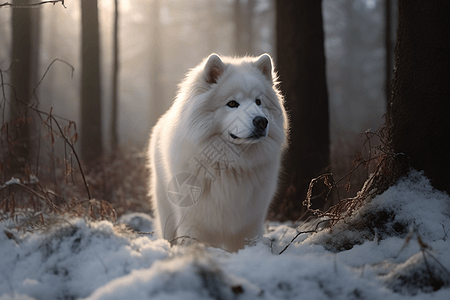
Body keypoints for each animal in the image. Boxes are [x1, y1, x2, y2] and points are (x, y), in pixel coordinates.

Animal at [149, 53, 288, 251]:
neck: (230, 166)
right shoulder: (193, 220)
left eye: (258, 101)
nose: (261, 121)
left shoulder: (250, 222)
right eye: (232, 103)